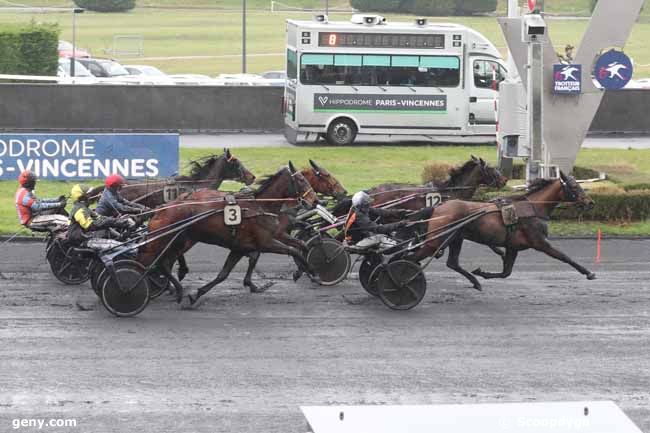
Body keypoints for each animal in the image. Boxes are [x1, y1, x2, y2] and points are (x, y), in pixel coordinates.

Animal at [138, 162, 318, 304]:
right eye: (301, 180)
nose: (315, 201)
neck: (260, 207)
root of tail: (162, 209)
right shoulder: (266, 242)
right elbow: (293, 250)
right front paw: (312, 272)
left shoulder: (241, 246)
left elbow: (223, 274)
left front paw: (197, 294)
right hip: (167, 241)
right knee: (154, 263)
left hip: (178, 241)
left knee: (163, 264)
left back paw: (178, 289)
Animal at [408, 172, 596, 290]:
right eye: (574, 187)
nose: (590, 202)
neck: (533, 208)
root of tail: (438, 207)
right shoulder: (540, 242)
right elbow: (565, 257)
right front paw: (588, 273)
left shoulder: (513, 246)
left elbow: (506, 272)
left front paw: (482, 273)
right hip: (437, 241)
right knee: (412, 258)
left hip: (455, 238)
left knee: (452, 263)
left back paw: (475, 282)